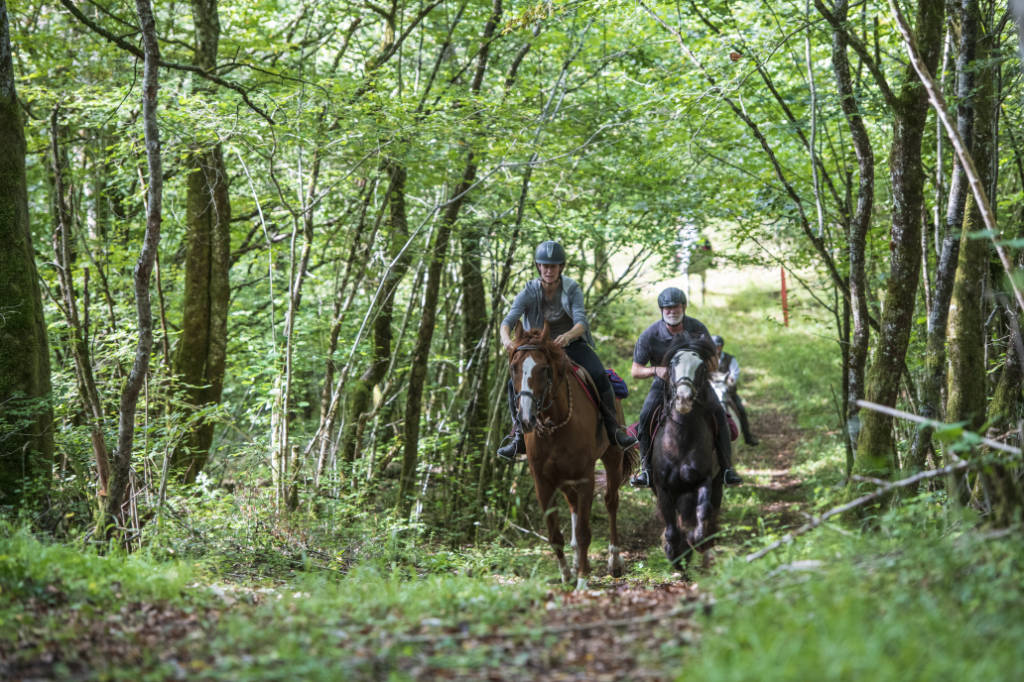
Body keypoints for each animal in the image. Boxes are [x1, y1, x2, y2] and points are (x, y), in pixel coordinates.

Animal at [507, 327, 634, 585]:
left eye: (544, 369)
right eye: (514, 368)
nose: (525, 419)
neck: (555, 424)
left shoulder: (586, 477)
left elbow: (585, 531)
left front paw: (583, 580)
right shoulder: (543, 482)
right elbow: (554, 533)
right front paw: (567, 576)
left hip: (612, 457)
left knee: (611, 501)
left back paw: (614, 561)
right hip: (565, 478)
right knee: (574, 506)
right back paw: (576, 563)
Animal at [651, 331, 724, 569]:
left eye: (701, 367)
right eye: (673, 364)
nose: (683, 398)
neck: (680, 441)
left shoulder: (703, 480)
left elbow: (702, 515)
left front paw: (695, 542)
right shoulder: (663, 488)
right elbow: (672, 529)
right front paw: (675, 554)